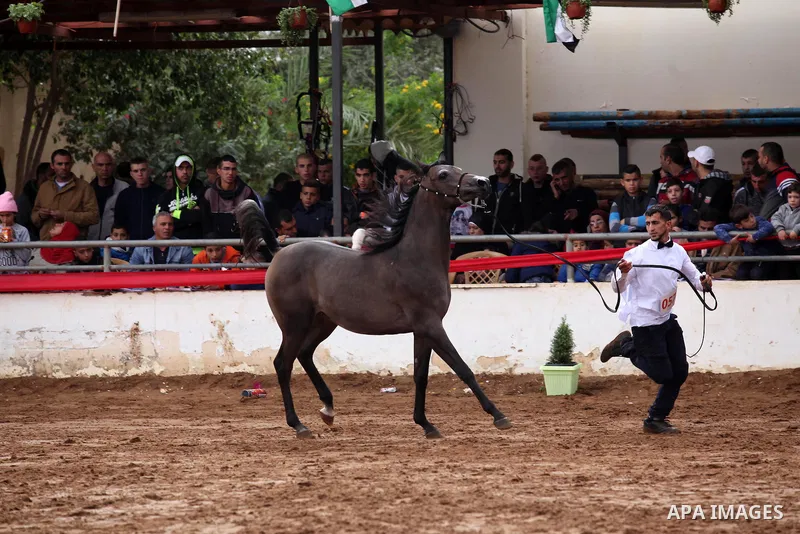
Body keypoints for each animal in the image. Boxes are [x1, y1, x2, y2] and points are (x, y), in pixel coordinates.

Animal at [235, 158, 511, 439]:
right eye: (443, 174)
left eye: (458, 169)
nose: (483, 183)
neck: (415, 259)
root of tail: (278, 252)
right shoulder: (431, 325)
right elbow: (463, 369)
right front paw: (499, 416)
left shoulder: (422, 330)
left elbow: (420, 376)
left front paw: (426, 424)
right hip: (294, 324)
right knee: (283, 364)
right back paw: (299, 425)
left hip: (323, 323)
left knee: (304, 355)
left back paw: (328, 409)